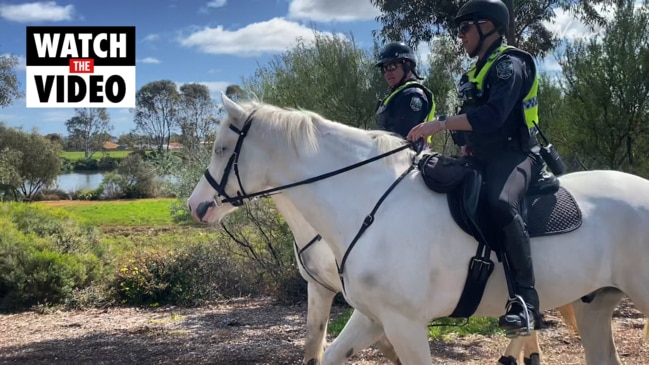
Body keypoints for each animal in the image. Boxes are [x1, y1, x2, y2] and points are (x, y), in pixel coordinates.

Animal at [190, 94, 644, 364]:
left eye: (222, 149)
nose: (197, 206)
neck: (369, 206)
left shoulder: (404, 324)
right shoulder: (371, 316)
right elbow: (327, 351)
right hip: (594, 305)